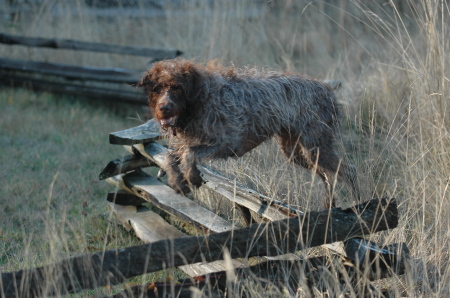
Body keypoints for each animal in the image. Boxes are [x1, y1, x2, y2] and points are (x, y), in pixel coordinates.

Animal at [139, 58, 360, 207]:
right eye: (157, 89)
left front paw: (192, 176)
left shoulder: (228, 143)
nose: (164, 108)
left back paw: (358, 207)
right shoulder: (191, 141)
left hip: (316, 148)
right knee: (327, 176)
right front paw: (177, 180)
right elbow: (171, 157)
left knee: (349, 172)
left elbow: (189, 154)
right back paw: (329, 206)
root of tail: (327, 88)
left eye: (177, 88)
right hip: (296, 152)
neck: (200, 99)